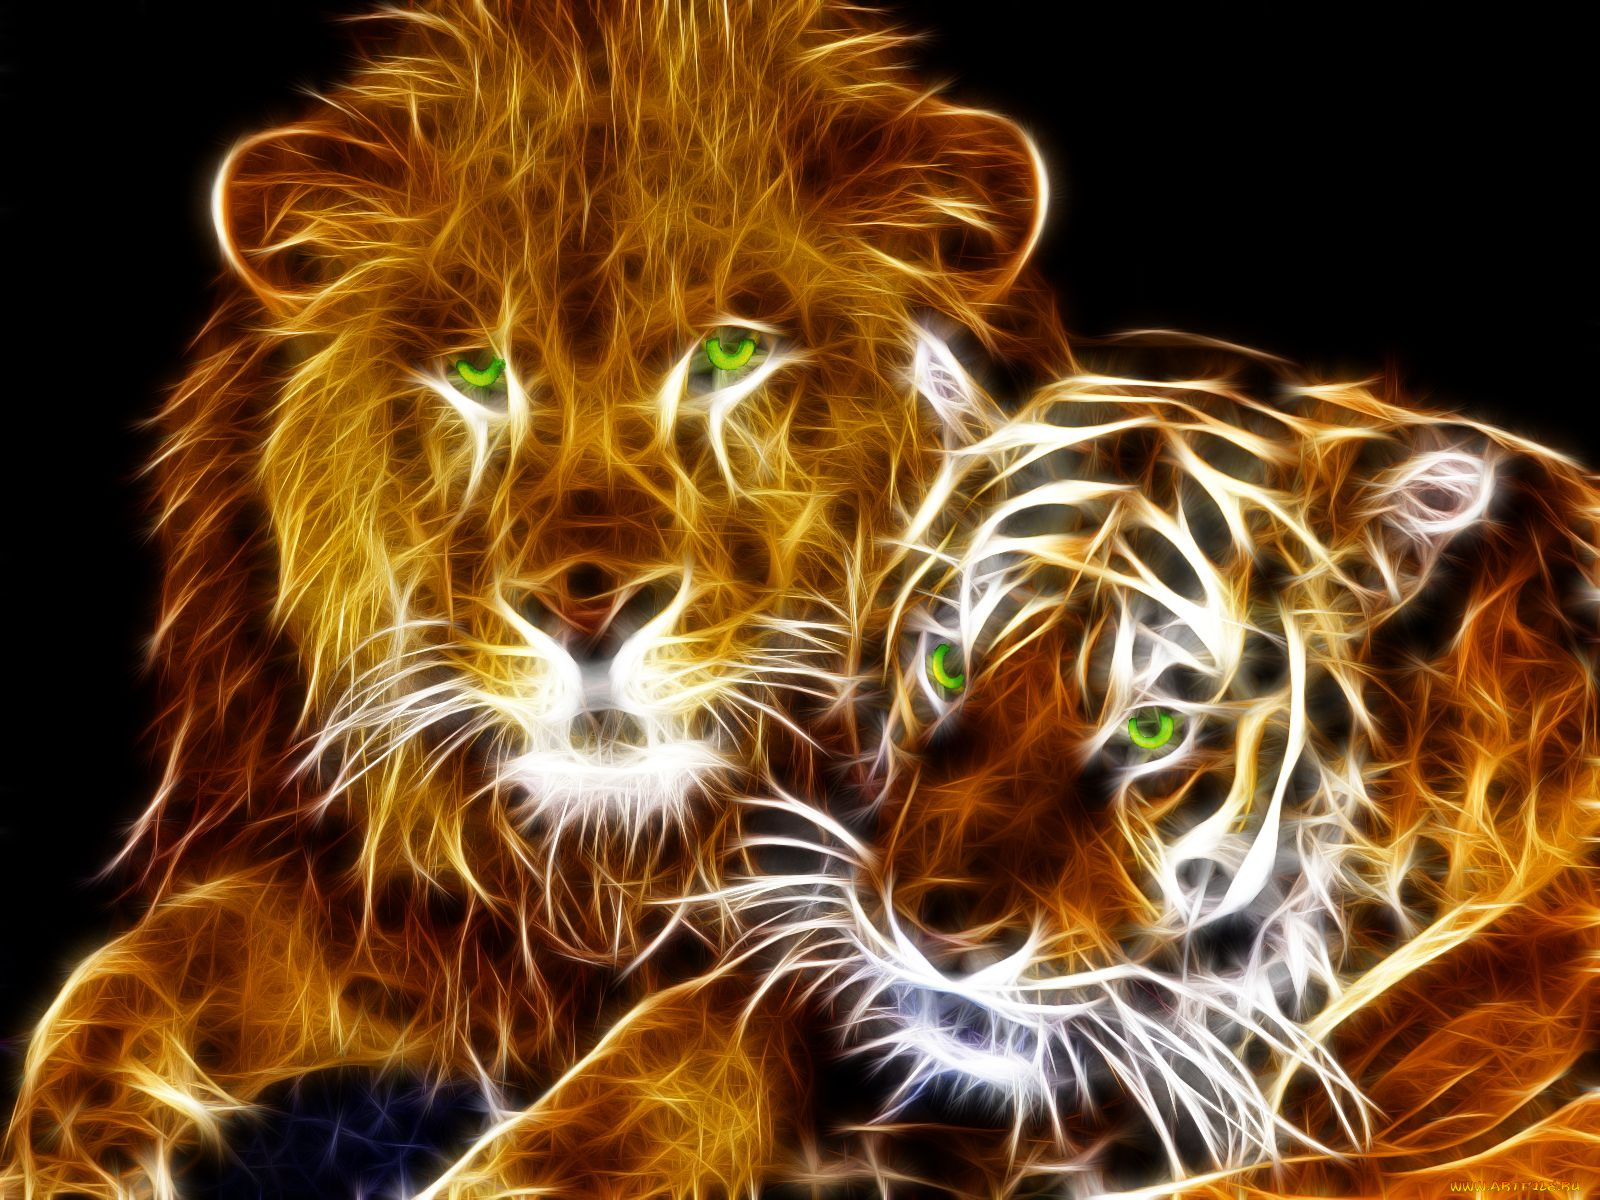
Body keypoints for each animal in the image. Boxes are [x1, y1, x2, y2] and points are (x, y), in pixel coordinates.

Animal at [0, 2, 1070, 1195]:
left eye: (731, 350)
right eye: (477, 371)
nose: (586, 613)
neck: (610, 866)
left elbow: (685, 1053)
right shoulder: (417, 911)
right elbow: (144, 970)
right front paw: (68, 1149)